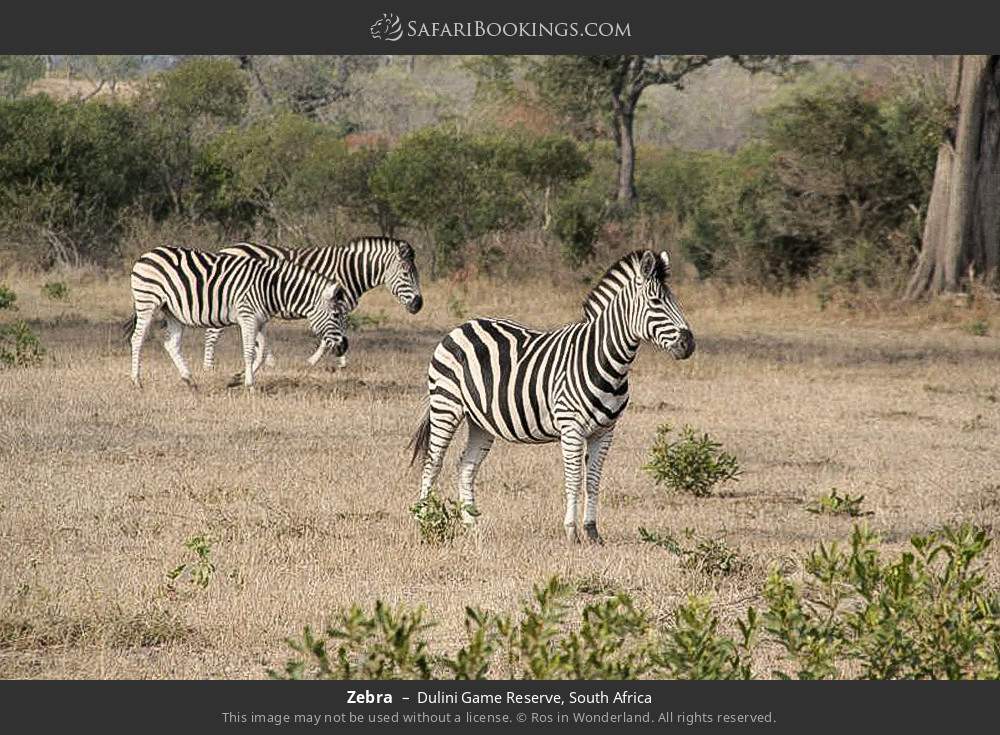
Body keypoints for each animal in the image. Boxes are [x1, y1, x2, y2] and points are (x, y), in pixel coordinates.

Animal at [127, 247, 350, 388]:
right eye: (336, 314)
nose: (344, 347)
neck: (270, 288)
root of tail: (147, 254)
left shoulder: (259, 321)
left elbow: (262, 352)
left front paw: (238, 378)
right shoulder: (248, 317)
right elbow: (249, 351)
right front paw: (249, 384)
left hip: (173, 312)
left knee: (171, 344)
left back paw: (189, 379)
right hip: (147, 302)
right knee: (137, 339)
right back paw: (137, 381)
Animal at [201, 237, 424, 370]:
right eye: (406, 274)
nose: (419, 305)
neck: (349, 271)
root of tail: (226, 248)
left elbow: (338, 332)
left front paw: (341, 360)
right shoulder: (333, 305)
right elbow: (330, 336)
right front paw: (318, 360)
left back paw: (267, 360)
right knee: (212, 332)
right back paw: (208, 367)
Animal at [406, 250, 696, 544]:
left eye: (676, 301)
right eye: (656, 301)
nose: (689, 344)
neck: (605, 360)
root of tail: (461, 327)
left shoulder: (605, 431)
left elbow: (593, 480)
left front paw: (592, 532)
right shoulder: (572, 428)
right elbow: (574, 479)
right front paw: (571, 532)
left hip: (480, 421)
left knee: (465, 466)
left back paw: (472, 526)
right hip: (446, 405)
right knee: (432, 463)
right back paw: (424, 523)